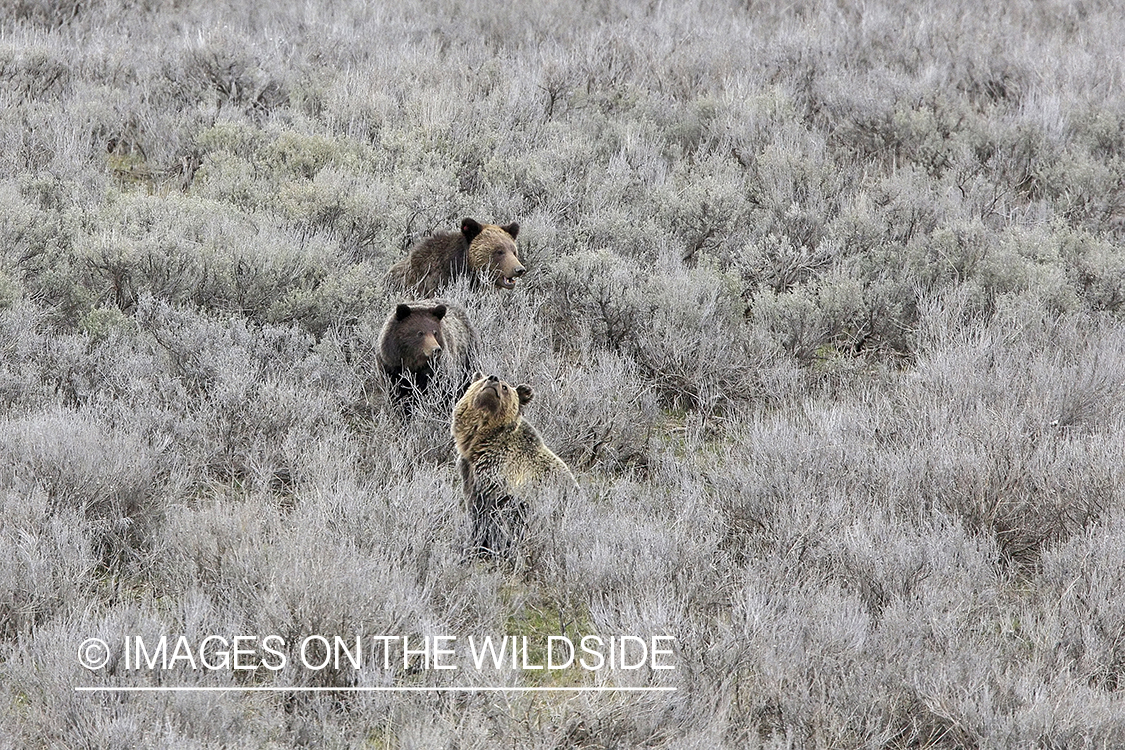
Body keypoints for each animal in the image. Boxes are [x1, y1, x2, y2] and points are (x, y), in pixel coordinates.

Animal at [451, 373, 577, 562]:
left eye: (505, 387)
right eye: (483, 379)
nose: (493, 378)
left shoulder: (501, 478)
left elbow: (491, 518)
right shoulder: (470, 473)